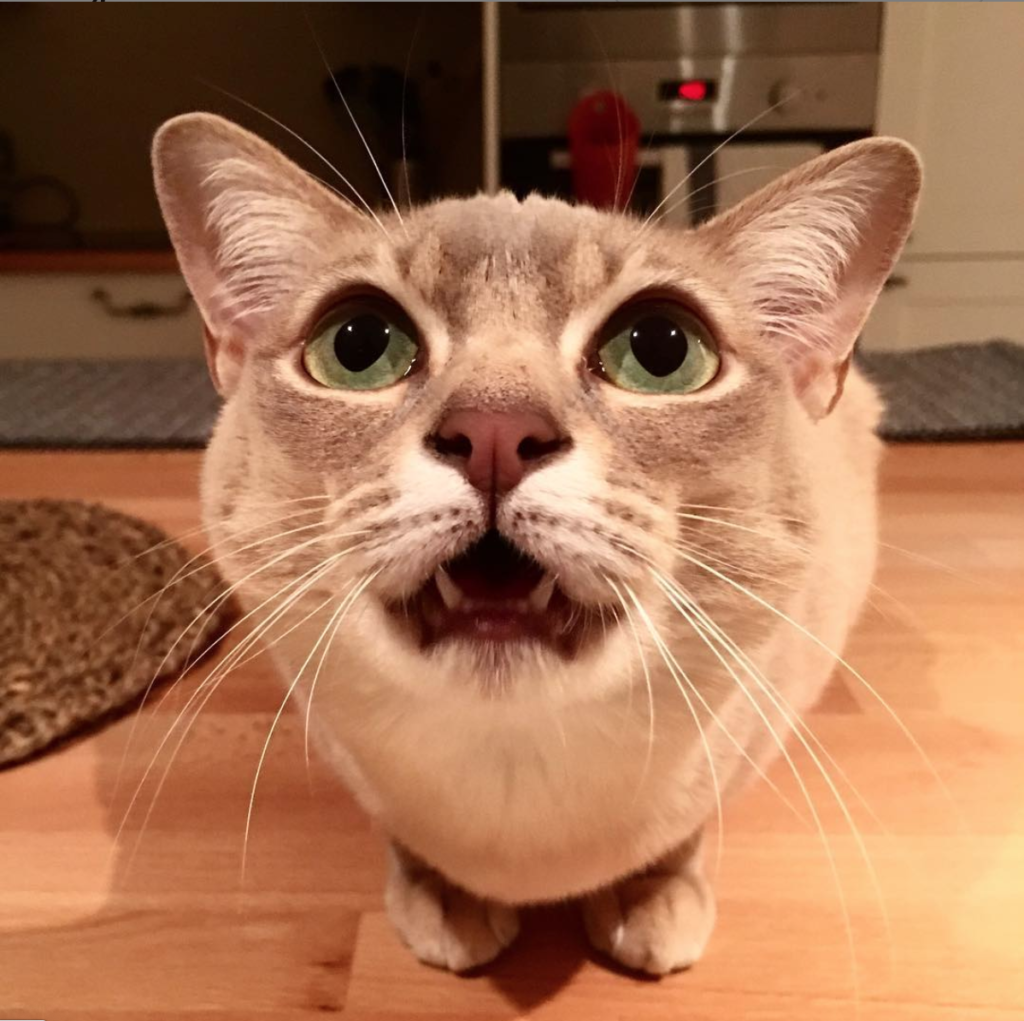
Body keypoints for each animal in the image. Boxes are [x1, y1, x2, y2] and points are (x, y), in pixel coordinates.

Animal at [149, 111, 921, 970]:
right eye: (358, 344)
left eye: (662, 349)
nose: (494, 430)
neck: (516, 794)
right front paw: (442, 896)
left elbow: (683, 831)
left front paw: (652, 894)